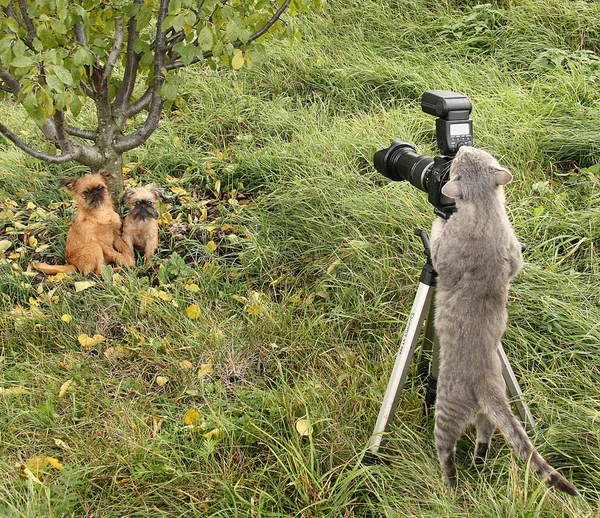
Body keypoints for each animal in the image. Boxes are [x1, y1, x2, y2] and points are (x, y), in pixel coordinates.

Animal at [432, 145, 576, 496]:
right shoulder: (514, 254)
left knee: (446, 449)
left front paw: (437, 221)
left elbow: (437, 247)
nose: (462, 147)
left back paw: (450, 484)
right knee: (487, 431)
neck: (486, 210)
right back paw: (479, 460)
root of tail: (487, 387)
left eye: (461, 159)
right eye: (478, 152)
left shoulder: (444, 256)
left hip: (446, 409)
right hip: (489, 412)